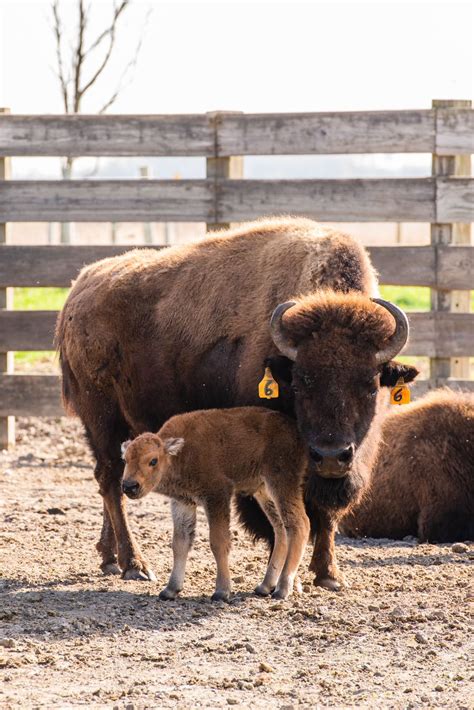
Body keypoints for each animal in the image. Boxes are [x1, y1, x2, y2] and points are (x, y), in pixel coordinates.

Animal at [120, 408, 310, 604]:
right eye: (125, 460)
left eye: (153, 460)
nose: (129, 486)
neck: (179, 455)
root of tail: (296, 433)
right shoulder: (183, 502)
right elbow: (180, 543)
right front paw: (170, 590)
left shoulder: (217, 495)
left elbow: (218, 542)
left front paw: (221, 591)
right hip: (264, 491)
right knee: (280, 529)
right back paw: (264, 586)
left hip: (281, 483)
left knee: (299, 524)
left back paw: (282, 589)